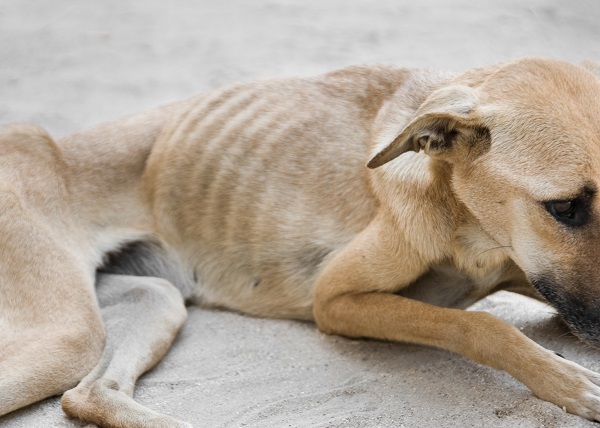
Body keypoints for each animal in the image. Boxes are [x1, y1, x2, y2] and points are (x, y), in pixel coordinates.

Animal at [1, 57, 600, 428]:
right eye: (564, 208)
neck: (465, 217)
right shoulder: (334, 300)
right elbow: (479, 326)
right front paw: (570, 383)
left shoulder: (539, 278)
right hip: (70, 334)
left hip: (155, 300)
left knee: (90, 394)